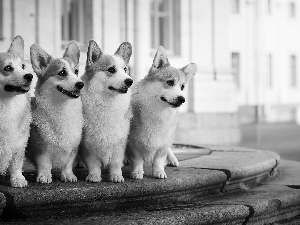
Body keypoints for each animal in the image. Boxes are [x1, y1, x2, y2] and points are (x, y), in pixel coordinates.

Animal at [26, 41, 84, 184]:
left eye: (76, 71)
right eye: (62, 72)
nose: (81, 84)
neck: (62, 108)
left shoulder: (72, 148)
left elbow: (67, 164)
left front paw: (68, 175)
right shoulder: (41, 149)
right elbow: (45, 164)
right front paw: (44, 176)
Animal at [79, 40, 132, 183]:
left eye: (125, 70)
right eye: (111, 70)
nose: (130, 81)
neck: (108, 103)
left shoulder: (118, 143)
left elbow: (115, 163)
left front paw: (116, 176)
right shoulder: (89, 144)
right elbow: (93, 164)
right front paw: (94, 176)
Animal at [126, 46, 197, 179]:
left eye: (182, 87)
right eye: (170, 82)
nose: (182, 99)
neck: (158, 111)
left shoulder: (163, 142)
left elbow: (159, 159)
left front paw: (159, 171)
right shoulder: (133, 142)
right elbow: (137, 160)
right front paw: (137, 172)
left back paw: (173, 159)